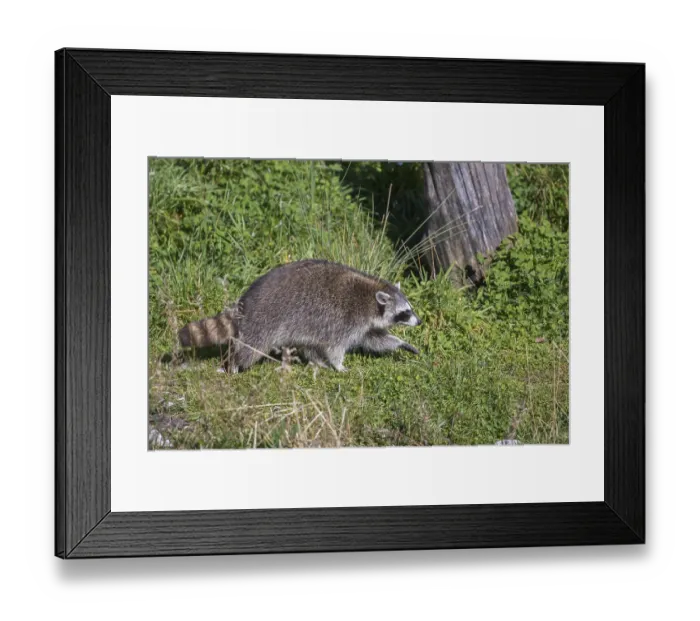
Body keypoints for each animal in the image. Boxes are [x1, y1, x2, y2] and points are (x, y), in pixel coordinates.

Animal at [178, 259, 422, 373]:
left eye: (410, 308)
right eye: (405, 312)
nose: (419, 321)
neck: (371, 298)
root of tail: (246, 303)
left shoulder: (363, 325)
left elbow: (375, 339)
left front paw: (401, 343)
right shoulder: (346, 320)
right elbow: (335, 347)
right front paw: (338, 365)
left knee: (308, 344)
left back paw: (316, 361)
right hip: (263, 322)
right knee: (250, 349)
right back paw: (234, 363)